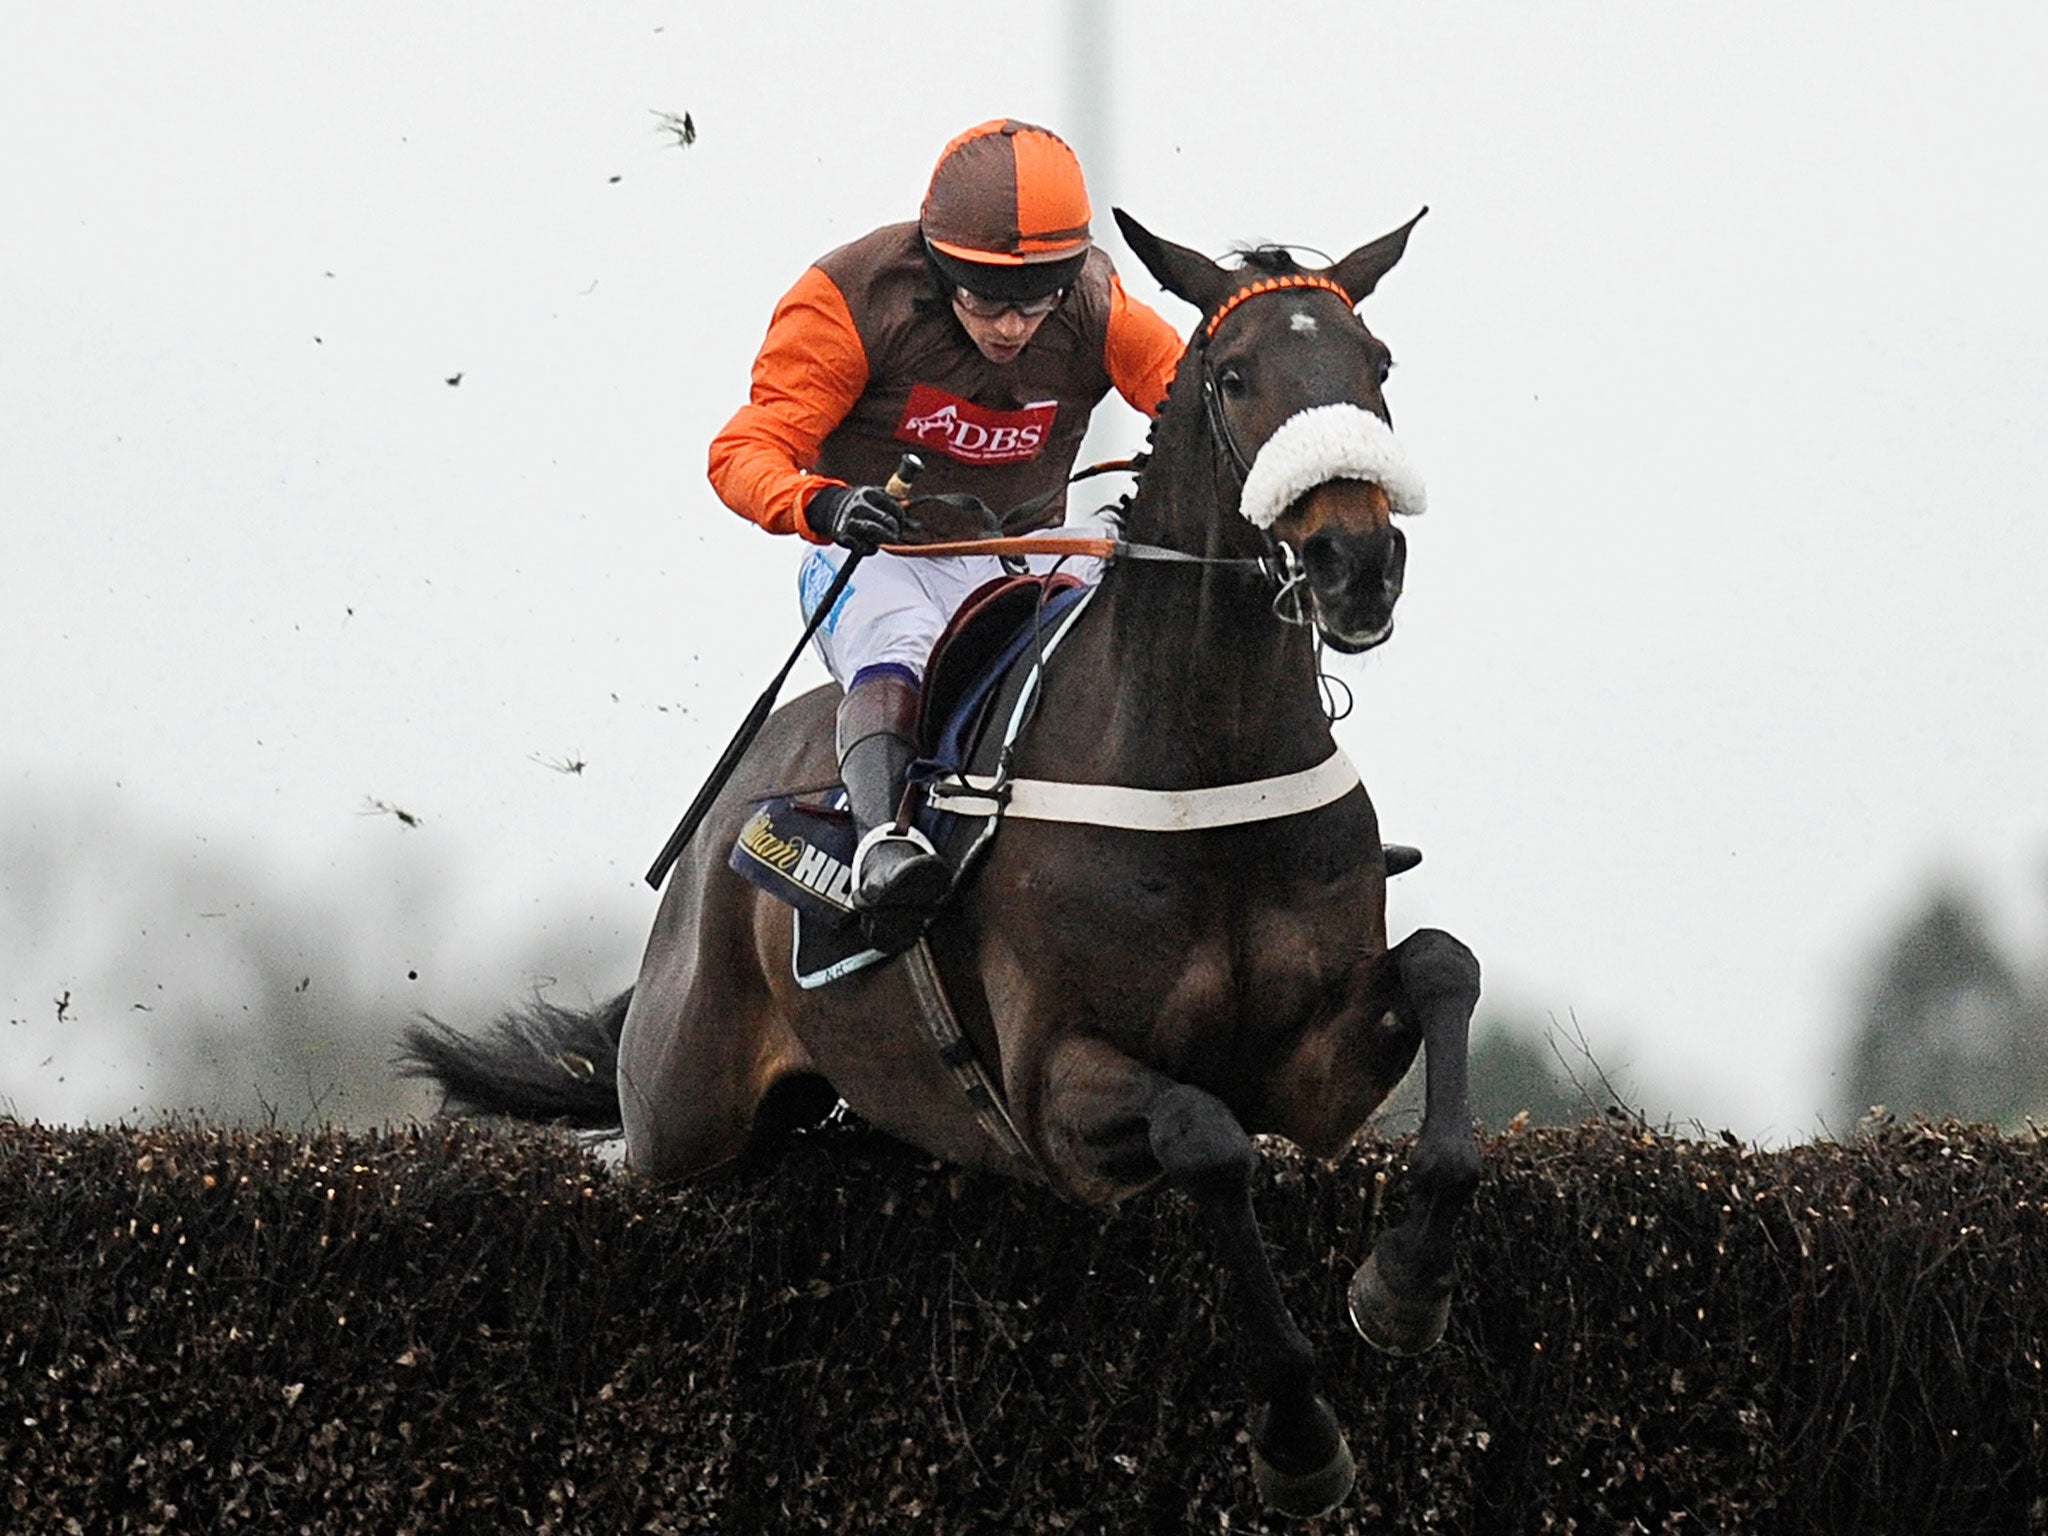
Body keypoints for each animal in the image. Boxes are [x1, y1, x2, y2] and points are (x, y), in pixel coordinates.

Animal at [399, 210, 1482, 1523]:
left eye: (1376, 363)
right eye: (1232, 376)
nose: (1354, 564)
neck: (1193, 765)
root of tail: (717, 835)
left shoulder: (1313, 1075)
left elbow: (1442, 971)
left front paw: (1405, 1285)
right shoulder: (1053, 1094)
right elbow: (1205, 1134)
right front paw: (1295, 1431)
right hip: (678, 1108)